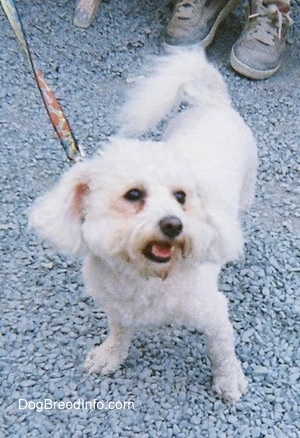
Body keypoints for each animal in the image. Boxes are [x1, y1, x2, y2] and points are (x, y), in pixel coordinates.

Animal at [29, 48, 256, 404]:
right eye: (133, 195)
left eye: (181, 196)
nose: (174, 224)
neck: (147, 278)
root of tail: (215, 104)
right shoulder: (116, 307)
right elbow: (119, 332)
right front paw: (109, 355)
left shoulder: (213, 312)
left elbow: (222, 350)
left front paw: (230, 380)